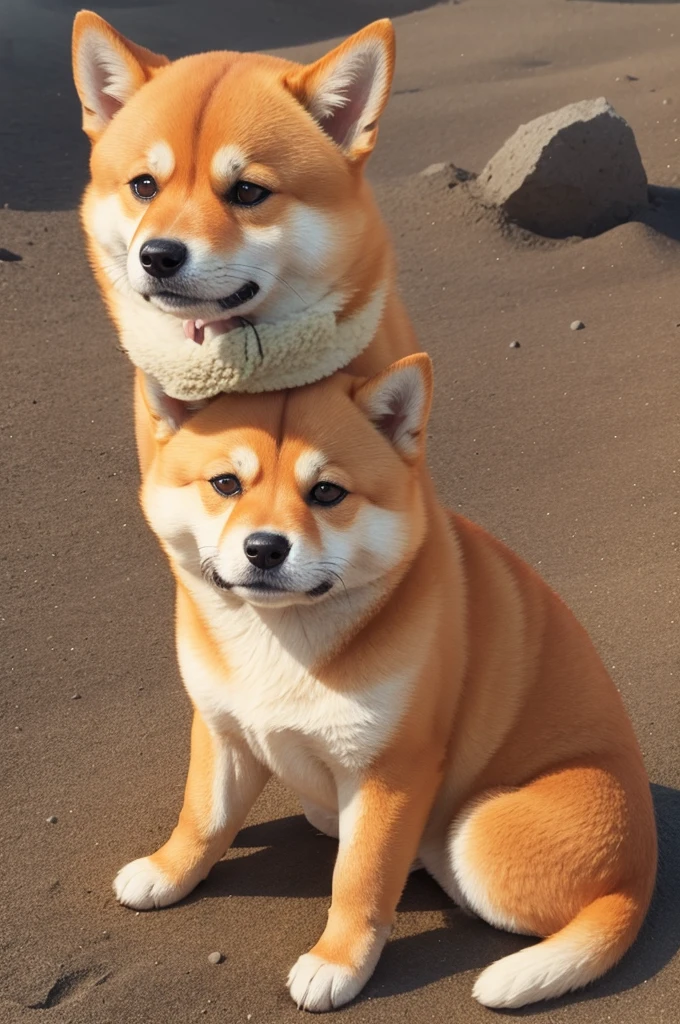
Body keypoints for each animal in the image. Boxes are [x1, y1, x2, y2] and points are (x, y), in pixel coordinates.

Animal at [114, 356, 655, 1011]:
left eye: (326, 492)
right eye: (225, 484)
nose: (264, 548)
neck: (283, 636)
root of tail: (640, 875)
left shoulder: (391, 771)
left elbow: (360, 878)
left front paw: (338, 961)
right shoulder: (223, 730)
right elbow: (202, 816)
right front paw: (168, 871)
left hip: (480, 832)